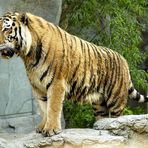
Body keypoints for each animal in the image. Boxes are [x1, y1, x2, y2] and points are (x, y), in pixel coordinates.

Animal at [0, 12, 147, 137]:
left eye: (6, 29)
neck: (29, 55)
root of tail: (124, 60)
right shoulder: (38, 87)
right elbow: (43, 109)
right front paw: (42, 127)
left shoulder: (56, 83)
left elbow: (53, 108)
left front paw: (51, 129)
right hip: (99, 104)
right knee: (103, 118)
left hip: (116, 100)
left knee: (117, 118)